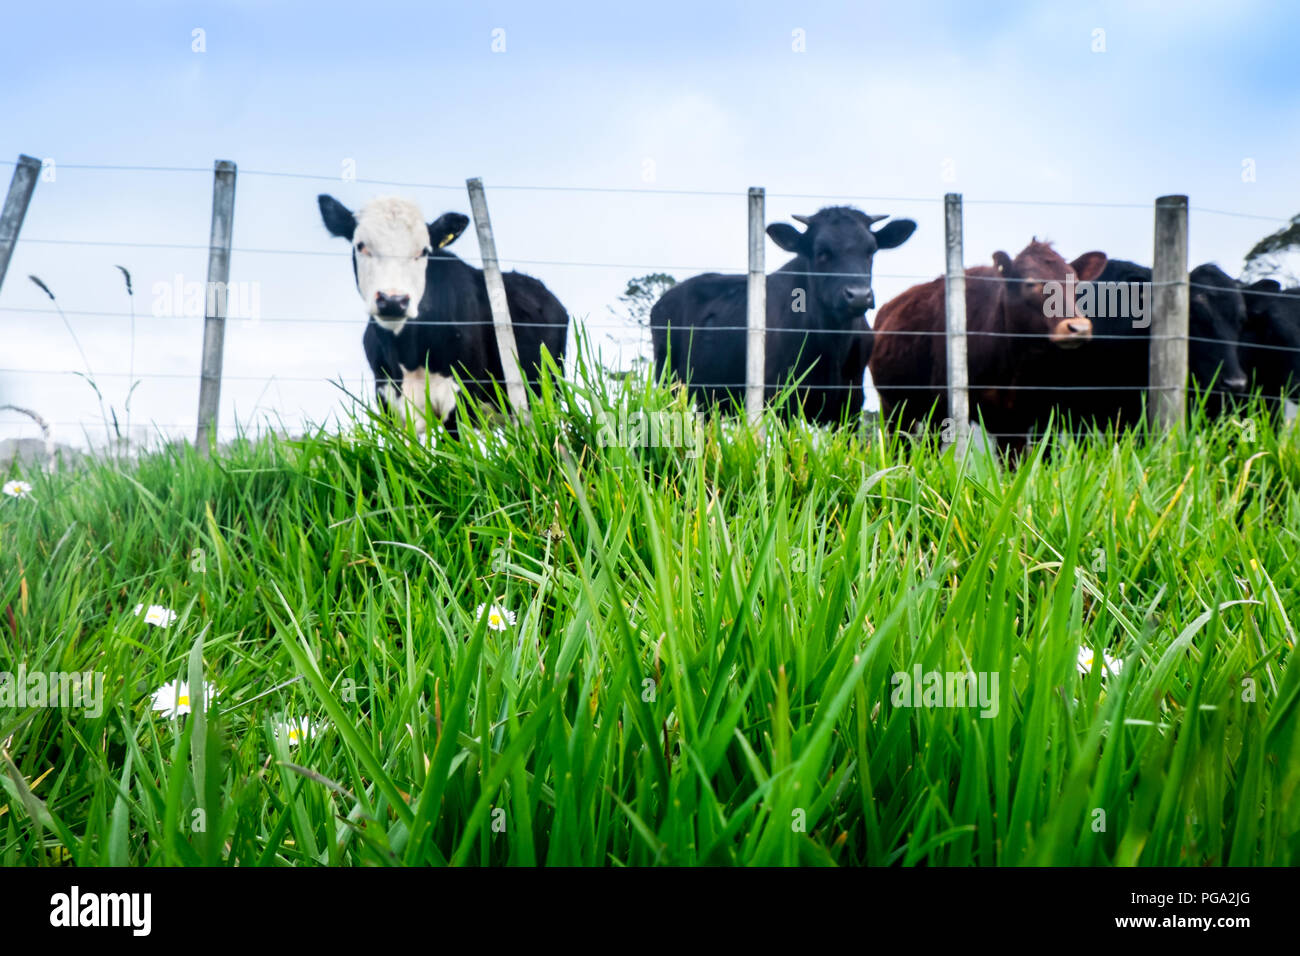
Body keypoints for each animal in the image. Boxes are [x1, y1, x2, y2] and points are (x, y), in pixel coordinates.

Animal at [317, 195, 566, 434]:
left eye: (424, 251)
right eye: (361, 246)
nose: (393, 300)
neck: (408, 354)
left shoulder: (460, 396)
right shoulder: (389, 402)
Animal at [650, 206, 915, 426]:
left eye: (871, 251)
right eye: (822, 253)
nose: (859, 295)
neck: (833, 343)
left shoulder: (851, 405)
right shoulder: (783, 400)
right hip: (671, 385)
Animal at [868, 238, 1102, 450]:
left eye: (1076, 283)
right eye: (1030, 282)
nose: (1078, 327)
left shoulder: (1029, 417)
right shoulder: (944, 406)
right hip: (893, 406)